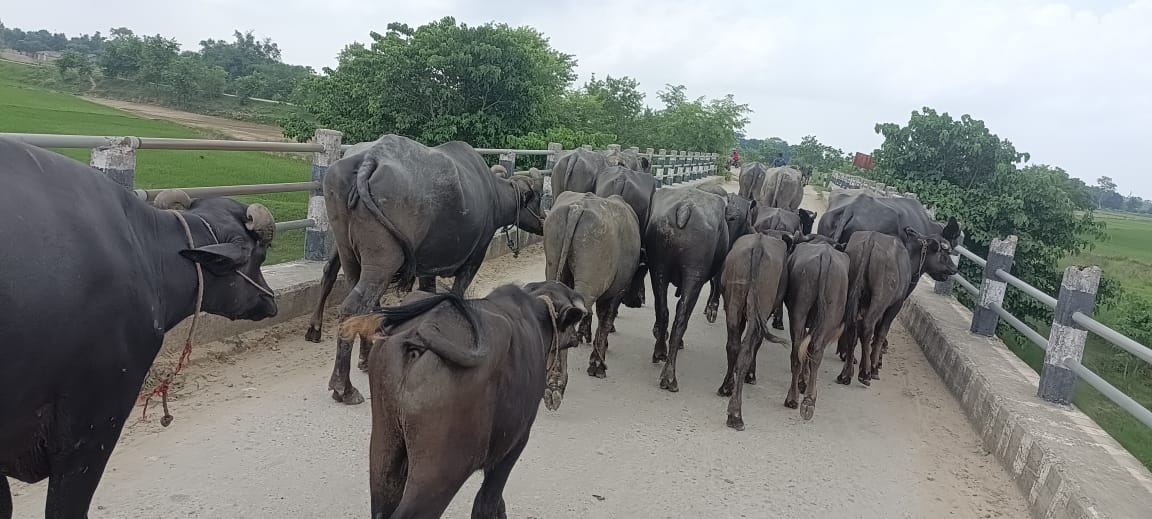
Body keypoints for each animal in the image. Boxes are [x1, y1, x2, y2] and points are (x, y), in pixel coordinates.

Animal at [301, 134, 543, 407]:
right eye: (537, 197)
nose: (544, 219)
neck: (491, 195)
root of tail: (370, 158)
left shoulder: (428, 267)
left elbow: (428, 297)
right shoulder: (474, 259)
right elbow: (454, 297)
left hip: (349, 253)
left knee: (350, 291)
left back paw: (358, 357)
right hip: (382, 263)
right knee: (354, 306)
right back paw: (344, 387)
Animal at [340, 281, 585, 517]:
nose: (577, 337)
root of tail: (420, 335)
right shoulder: (513, 446)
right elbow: (486, 502)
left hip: (385, 447)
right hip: (441, 472)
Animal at [543, 191, 645, 386]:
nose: (638, 301)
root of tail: (577, 208)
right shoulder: (616, 292)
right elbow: (606, 320)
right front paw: (597, 363)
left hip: (553, 264)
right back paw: (557, 380)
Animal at [778, 238, 852, 421]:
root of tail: (825, 257)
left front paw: (802, 381)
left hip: (801, 310)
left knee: (800, 351)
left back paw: (799, 399)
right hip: (823, 315)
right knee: (813, 350)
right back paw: (806, 399)